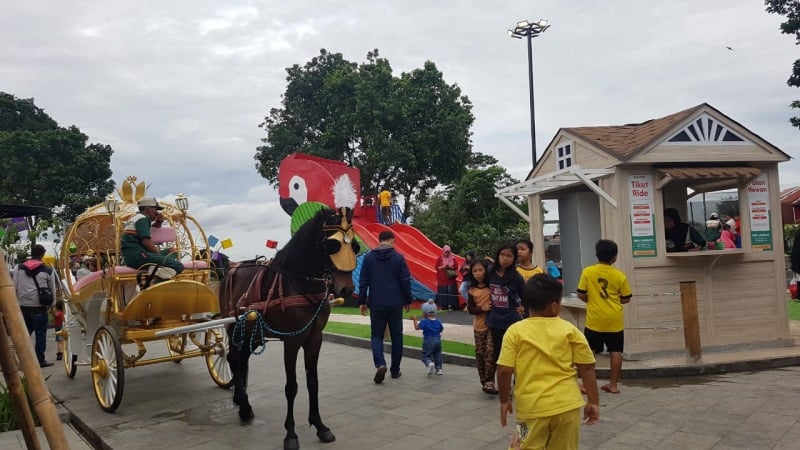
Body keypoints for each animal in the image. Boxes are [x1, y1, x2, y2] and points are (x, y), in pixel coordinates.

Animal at [219, 207, 356, 450]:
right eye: (333, 245)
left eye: (355, 245)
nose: (347, 289)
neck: (299, 283)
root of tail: (231, 270)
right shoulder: (292, 341)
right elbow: (291, 387)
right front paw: (290, 434)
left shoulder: (315, 339)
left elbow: (313, 382)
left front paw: (320, 425)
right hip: (234, 328)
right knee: (234, 359)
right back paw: (244, 406)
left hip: (252, 332)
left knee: (241, 360)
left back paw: (240, 400)